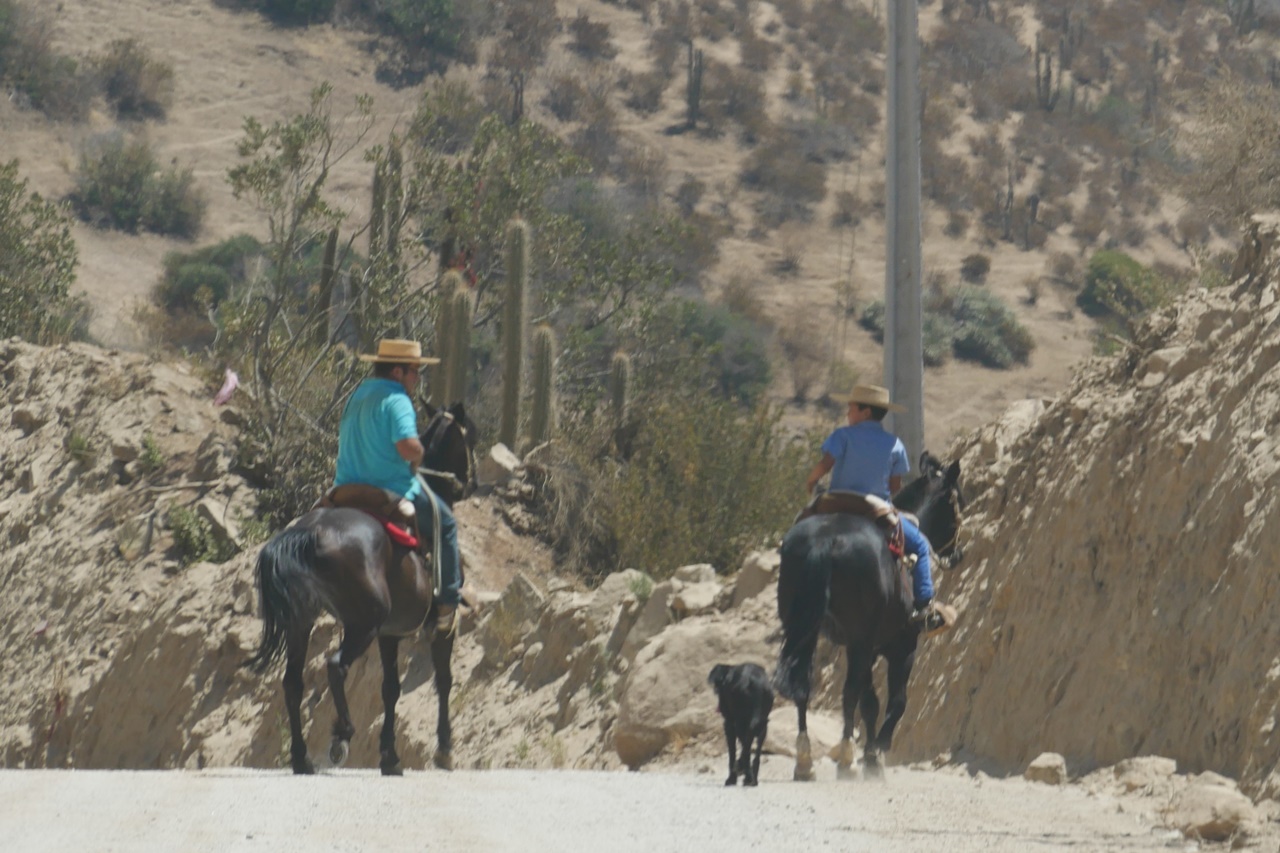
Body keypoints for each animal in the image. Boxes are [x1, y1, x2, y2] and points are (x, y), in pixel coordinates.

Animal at [243, 402, 476, 773]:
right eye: (470, 439)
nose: (471, 482)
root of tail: (310, 531)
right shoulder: (442, 626)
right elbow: (443, 679)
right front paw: (443, 749)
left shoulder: (390, 633)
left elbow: (390, 689)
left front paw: (389, 756)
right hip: (363, 623)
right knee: (336, 665)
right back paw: (342, 733)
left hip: (302, 620)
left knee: (292, 682)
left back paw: (302, 758)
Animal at [711, 655, 768, 783]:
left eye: (717, 687)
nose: (720, 706)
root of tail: (756, 681)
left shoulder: (729, 724)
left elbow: (733, 750)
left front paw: (731, 778)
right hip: (762, 721)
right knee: (755, 746)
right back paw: (752, 778)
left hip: (740, 721)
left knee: (745, 746)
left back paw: (745, 773)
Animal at [768, 455, 962, 778]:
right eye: (958, 503)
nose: (958, 555)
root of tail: (826, 539)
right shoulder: (901, 647)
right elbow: (895, 701)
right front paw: (877, 750)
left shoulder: (867, 648)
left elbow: (869, 702)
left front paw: (871, 755)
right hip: (860, 639)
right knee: (848, 692)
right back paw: (846, 758)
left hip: (806, 632)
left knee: (804, 686)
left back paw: (805, 761)